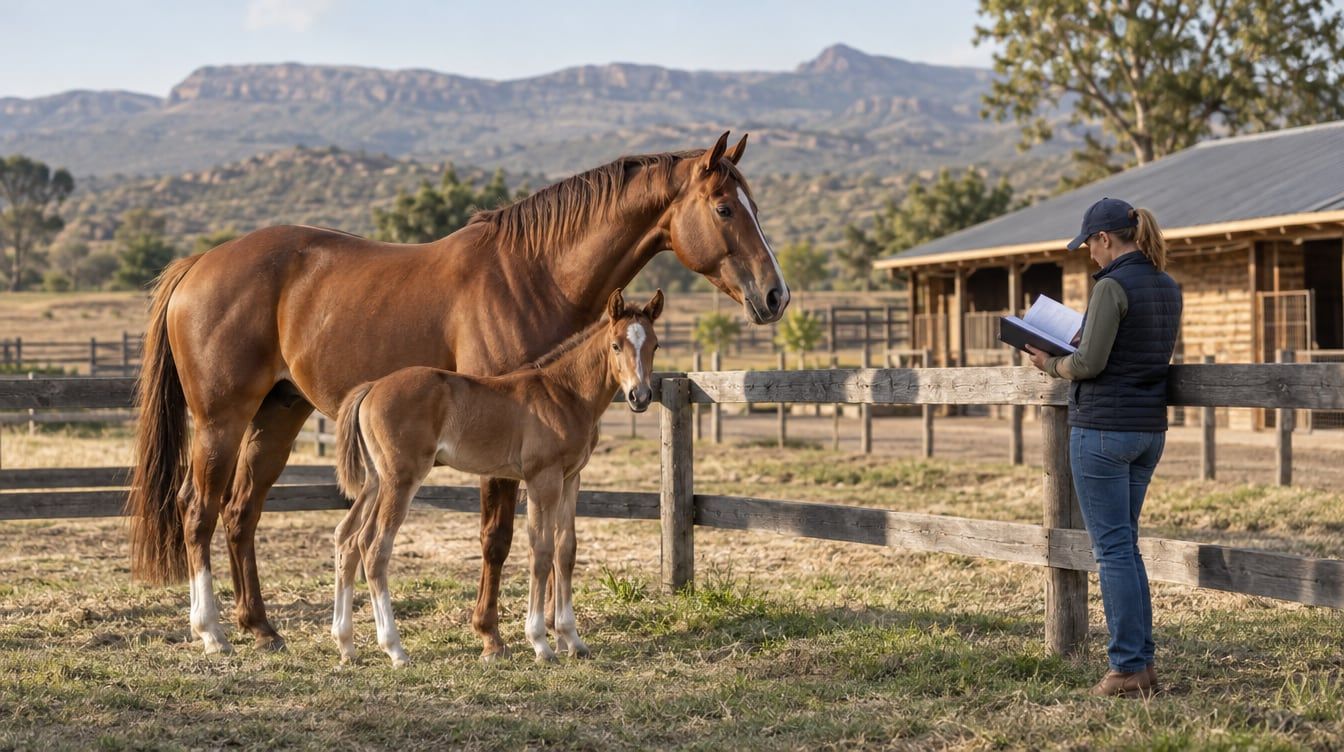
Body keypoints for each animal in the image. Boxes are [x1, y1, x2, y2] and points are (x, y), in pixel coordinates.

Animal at [331, 288, 661, 666]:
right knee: (374, 548)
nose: (640, 396)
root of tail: (371, 387)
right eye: (616, 345)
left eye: (654, 345)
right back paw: (395, 649)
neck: (565, 392)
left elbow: (566, 550)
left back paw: (346, 645)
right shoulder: (542, 479)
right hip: (401, 479)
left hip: (375, 481)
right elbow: (541, 551)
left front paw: (573, 639)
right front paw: (541, 643)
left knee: (348, 538)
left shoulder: (570, 479)